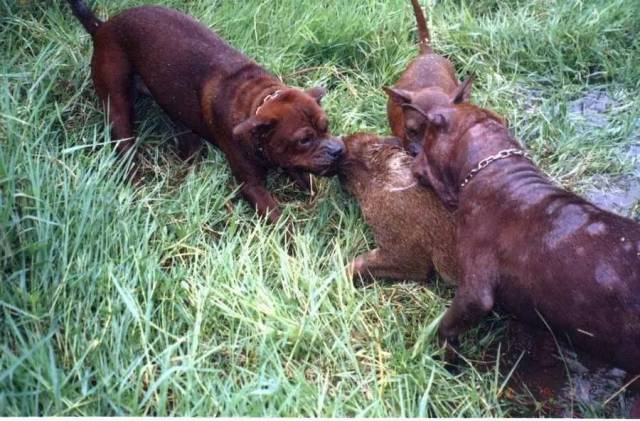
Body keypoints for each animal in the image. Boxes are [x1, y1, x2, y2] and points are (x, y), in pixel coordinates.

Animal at [67, 0, 342, 223]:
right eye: (303, 140)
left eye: (326, 126)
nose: (338, 150)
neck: (258, 102)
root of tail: (102, 26)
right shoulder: (252, 186)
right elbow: (281, 220)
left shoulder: (292, 164)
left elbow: (311, 185)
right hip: (118, 106)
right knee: (125, 144)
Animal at [410, 85, 640, 370]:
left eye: (426, 142)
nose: (412, 157)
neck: (494, 169)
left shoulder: (474, 293)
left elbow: (447, 327)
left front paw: (444, 359)